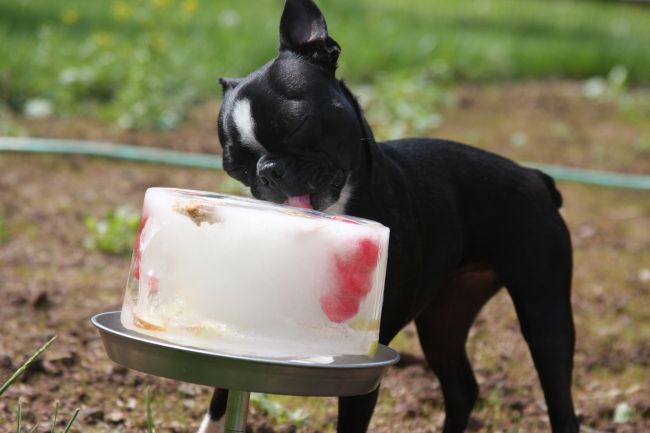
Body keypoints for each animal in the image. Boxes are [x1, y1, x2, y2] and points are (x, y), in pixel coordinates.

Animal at [197, 1, 576, 430]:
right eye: (235, 166)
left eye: (296, 125)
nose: (267, 170)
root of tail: (533, 176)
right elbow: (224, 383)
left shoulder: (363, 357)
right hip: (445, 316)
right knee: (462, 387)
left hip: (544, 309)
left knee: (559, 398)